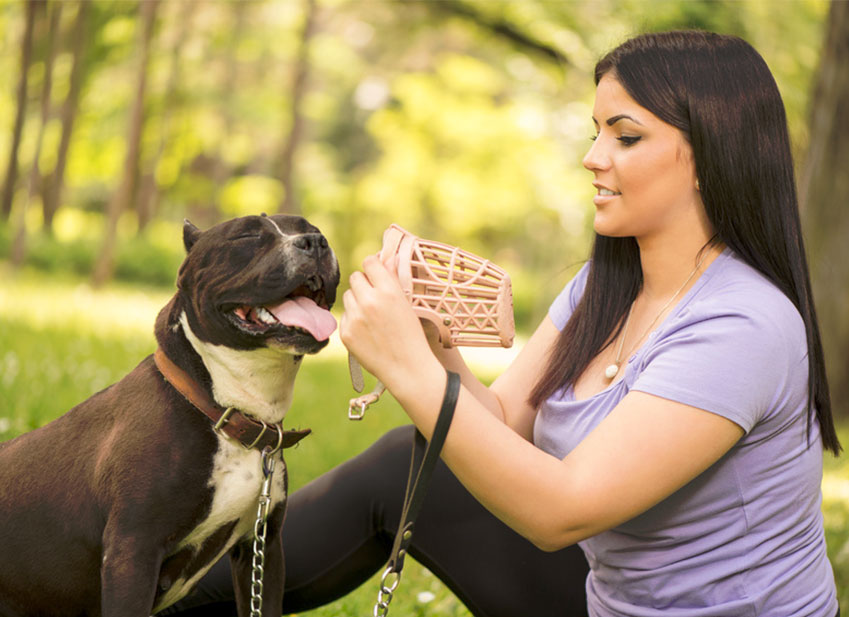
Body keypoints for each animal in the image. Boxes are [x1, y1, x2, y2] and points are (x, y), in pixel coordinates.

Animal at [0, 213, 342, 616]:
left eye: (311, 228)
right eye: (246, 235)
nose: (315, 242)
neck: (222, 408)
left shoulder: (264, 550)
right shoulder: (132, 554)